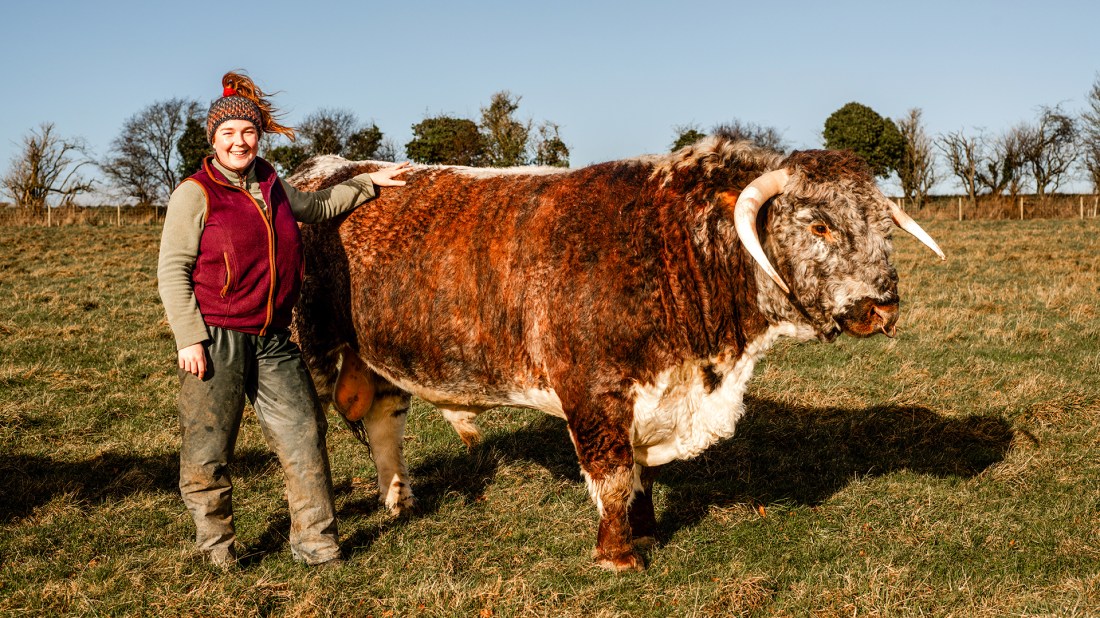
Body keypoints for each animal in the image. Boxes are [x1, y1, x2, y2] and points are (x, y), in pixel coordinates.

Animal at [288, 136, 944, 571]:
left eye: (884, 224)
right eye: (819, 225)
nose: (884, 304)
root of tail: (320, 168)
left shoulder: (655, 394)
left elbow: (640, 472)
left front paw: (647, 532)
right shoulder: (592, 392)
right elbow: (612, 473)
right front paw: (618, 555)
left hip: (376, 355)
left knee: (384, 421)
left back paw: (400, 501)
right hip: (306, 346)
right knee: (307, 436)